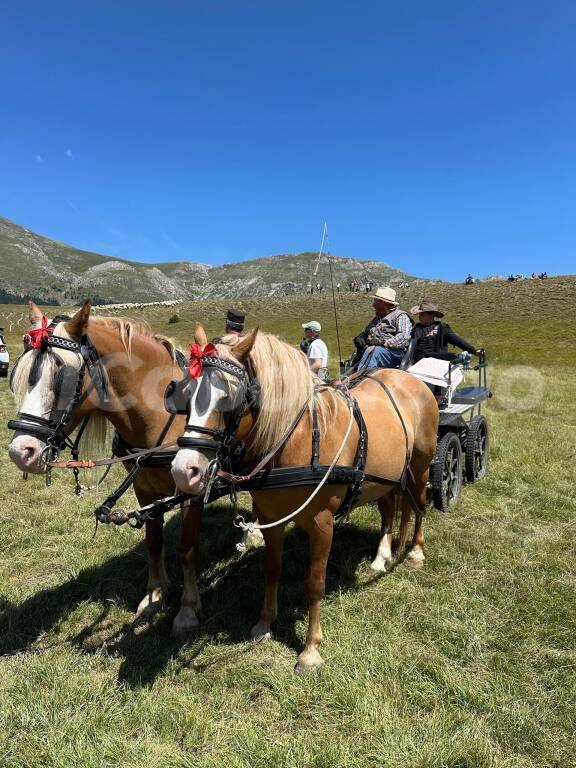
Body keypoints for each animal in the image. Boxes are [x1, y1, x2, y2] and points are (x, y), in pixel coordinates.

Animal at [7, 300, 202, 632]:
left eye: (62, 376)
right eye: (22, 376)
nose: (21, 452)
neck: (165, 414)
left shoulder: (191, 492)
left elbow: (187, 549)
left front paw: (188, 610)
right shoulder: (144, 489)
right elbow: (153, 541)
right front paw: (154, 596)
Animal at [170, 324, 436, 672]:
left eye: (229, 398)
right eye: (186, 395)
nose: (182, 471)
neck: (297, 440)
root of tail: (411, 379)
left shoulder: (323, 525)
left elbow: (315, 584)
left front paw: (310, 651)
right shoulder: (271, 519)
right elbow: (272, 569)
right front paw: (264, 624)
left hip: (419, 468)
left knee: (419, 507)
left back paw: (415, 552)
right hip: (385, 478)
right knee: (390, 509)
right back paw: (381, 557)